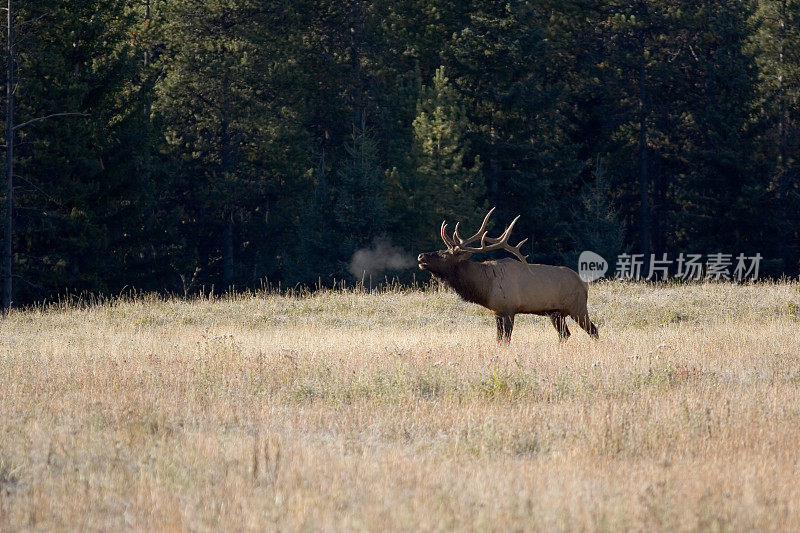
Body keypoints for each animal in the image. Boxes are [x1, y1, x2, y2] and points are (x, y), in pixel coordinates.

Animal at [416, 208, 596, 340]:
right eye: (441, 250)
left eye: (444, 255)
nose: (421, 256)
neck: (485, 287)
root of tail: (584, 285)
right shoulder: (497, 312)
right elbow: (499, 339)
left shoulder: (509, 309)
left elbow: (506, 340)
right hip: (556, 313)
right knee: (565, 334)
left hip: (577, 307)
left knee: (593, 330)